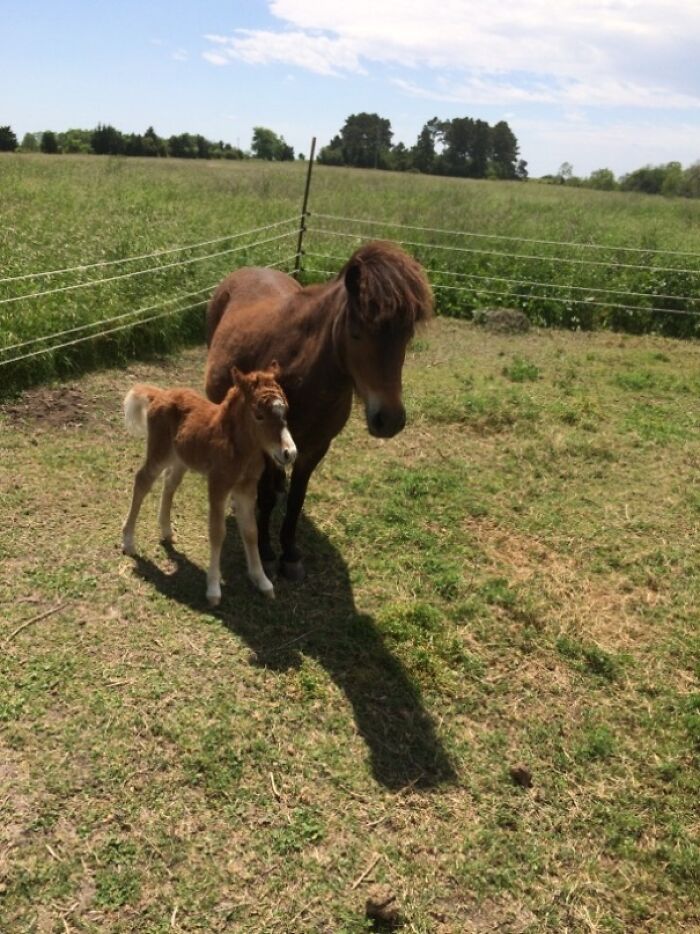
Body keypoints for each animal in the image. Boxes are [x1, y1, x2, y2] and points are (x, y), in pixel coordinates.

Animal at [121, 364, 297, 605]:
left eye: (286, 411)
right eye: (258, 415)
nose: (290, 453)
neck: (239, 448)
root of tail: (160, 394)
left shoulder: (246, 488)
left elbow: (251, 531)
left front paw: (262, 580)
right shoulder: (218, 485)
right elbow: (217, 531)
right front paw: (213, 589)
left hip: (180, 457)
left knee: (170, 483)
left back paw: (166, 530)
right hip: (160, 451)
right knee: (142, 481)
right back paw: (128, 542)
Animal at [205, 240, 433, 580]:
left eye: (407, 335)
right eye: (356, 332)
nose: (390, 419)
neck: (303, 372)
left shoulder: (316, 447)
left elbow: (297, 500)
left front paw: (290, 553)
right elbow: (267, 498)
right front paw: (267, 551)